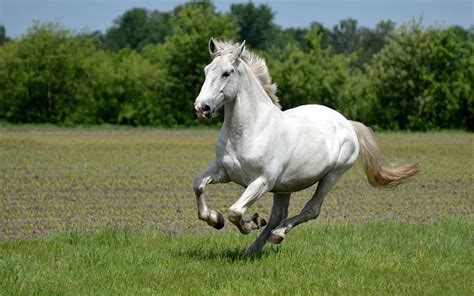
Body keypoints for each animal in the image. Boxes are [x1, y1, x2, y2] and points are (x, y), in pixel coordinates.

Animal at [191, 40, 420, 256]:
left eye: (226, 73)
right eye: (206, 70)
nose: (202, 108)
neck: (249, 131)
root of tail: (347, 122)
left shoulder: (262, 181)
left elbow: (235, 212)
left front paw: (250, 222)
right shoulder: (223, 172)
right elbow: (198, 185)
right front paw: (216, 219)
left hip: (332, 175)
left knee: (311, 210)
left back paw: (277, 234)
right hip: (284, 186)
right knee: (277, 216)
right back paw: (254, 248)